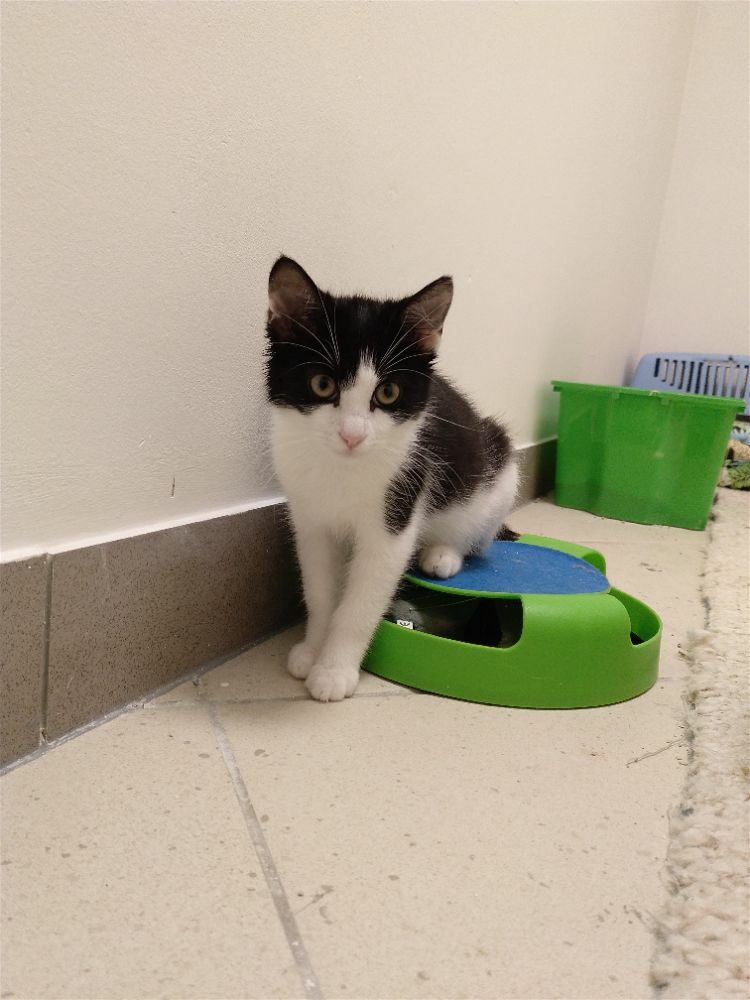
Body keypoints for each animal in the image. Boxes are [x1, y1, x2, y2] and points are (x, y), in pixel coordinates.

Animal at [265, 256, 519, 702]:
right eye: (322, 384)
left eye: (387, 393)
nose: (352, 435)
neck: (343, 468)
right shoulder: (310, 520)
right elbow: (320, 589)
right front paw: (312, 651)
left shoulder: (397, 509)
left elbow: (361, 601)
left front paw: (334, 670)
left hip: (500, 469)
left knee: (477, 535)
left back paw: (442, 554)